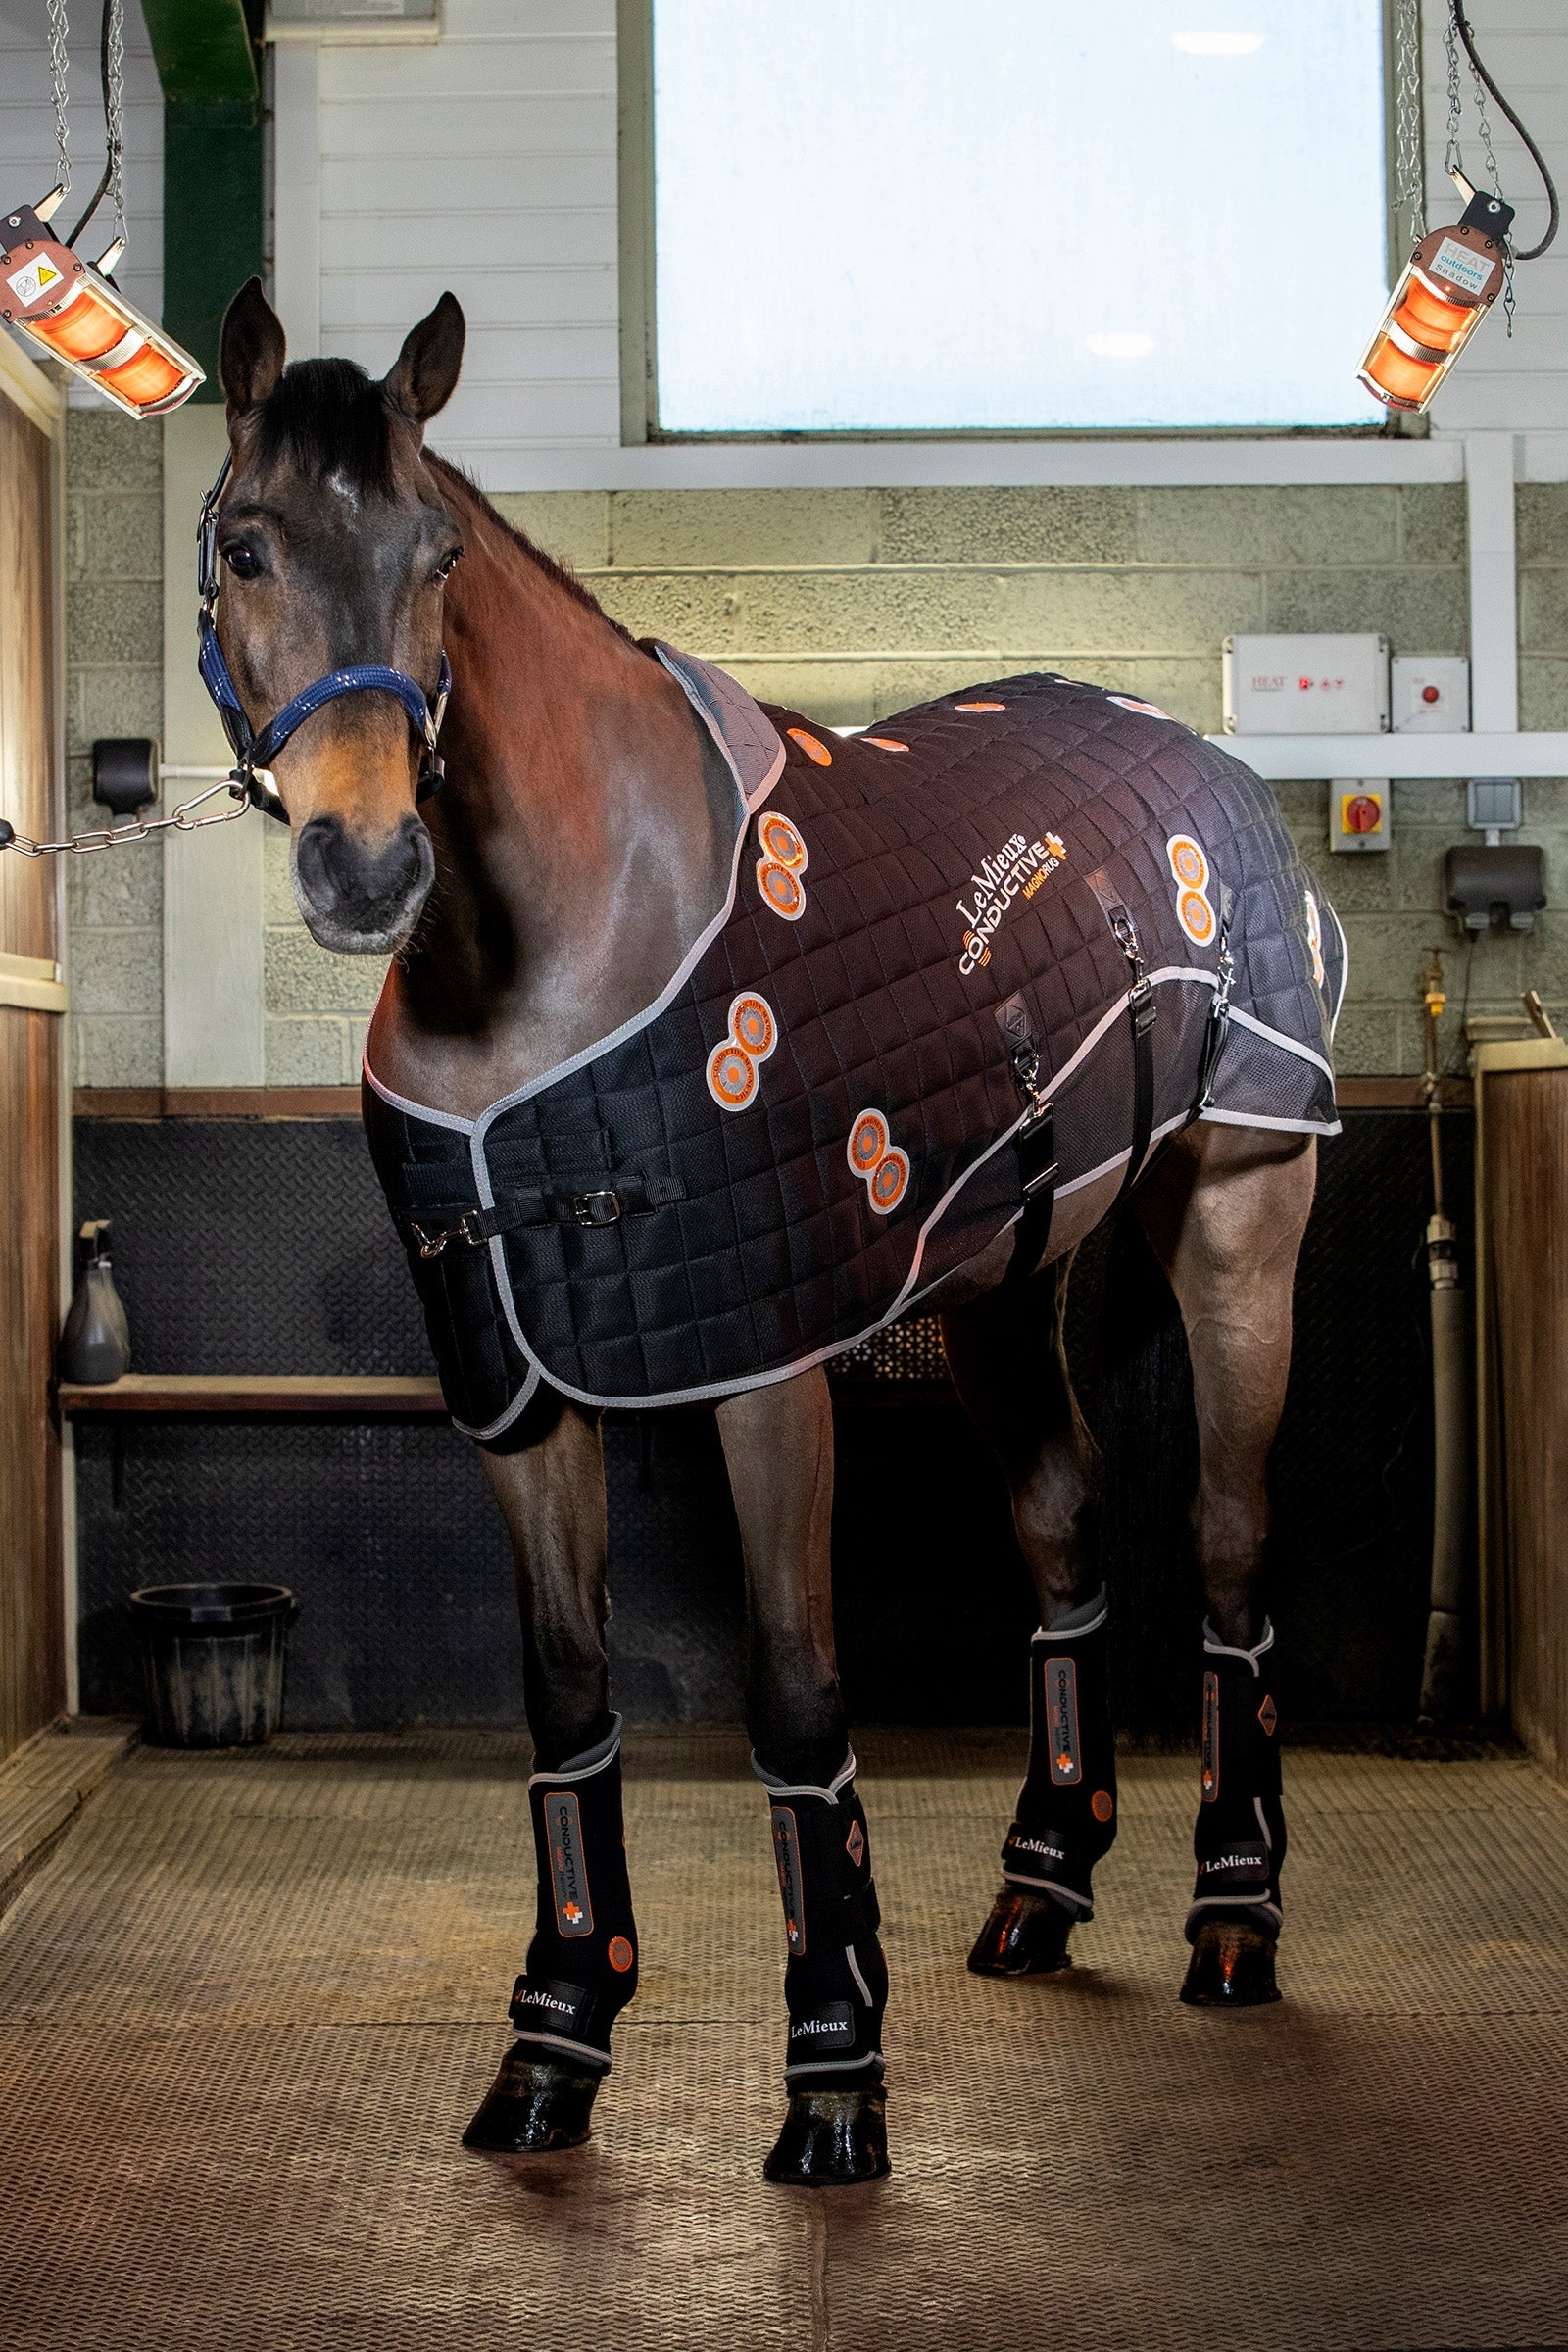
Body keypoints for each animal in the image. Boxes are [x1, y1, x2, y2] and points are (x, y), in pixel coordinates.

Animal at [203, 279, 1334, 2187]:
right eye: (243, 542)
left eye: (439, 553)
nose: (368, 867)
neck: (553, 962)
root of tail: (1209, 762)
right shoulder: (522, 1395)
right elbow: (567, 1704)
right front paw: (554, 2044)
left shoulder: (760, 1369)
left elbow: (800, 1702)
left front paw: (832, 2075)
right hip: (998, 1284)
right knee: (1064, 1540)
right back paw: (1043, 1889)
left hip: (1243, 1214)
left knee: (1236, 1549)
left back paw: (1235, 1916)